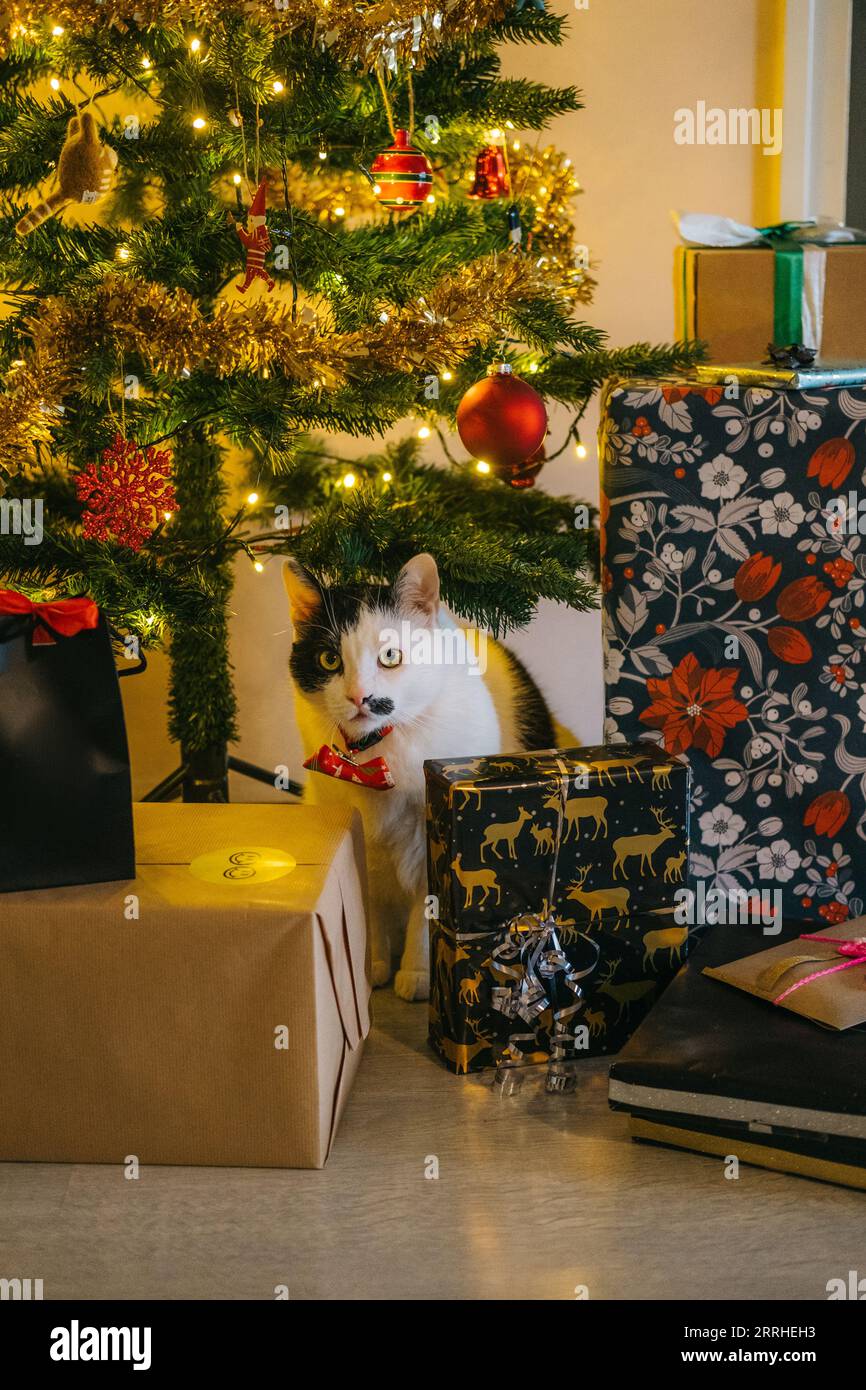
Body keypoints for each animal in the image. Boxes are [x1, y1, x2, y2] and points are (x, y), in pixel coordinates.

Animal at [284, 550, 556, 1000]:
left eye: (390, 656)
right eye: (329, 659)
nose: (359, 696)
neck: (374, 757)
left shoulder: (434, 839)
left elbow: (426, 910)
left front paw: (417, 973)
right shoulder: (360, 841)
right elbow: (369, 904)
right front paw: (373, 964)